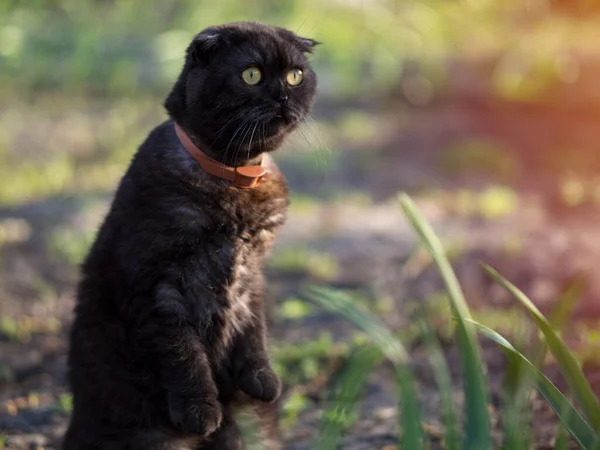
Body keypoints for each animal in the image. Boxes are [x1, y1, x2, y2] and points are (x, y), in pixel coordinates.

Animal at [62, 22, 318, 450]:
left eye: (295, 75)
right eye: (252, 74)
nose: (282, 95)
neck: (233, 177)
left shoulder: (252, 274)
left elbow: (254, 329)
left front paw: (262, 379)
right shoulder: (157, 286)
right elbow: (184, 354)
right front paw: (201, 411)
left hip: (252, 435)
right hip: (148, 437)